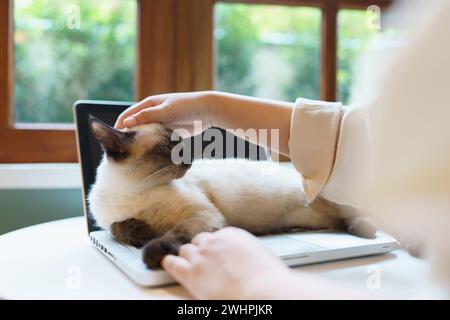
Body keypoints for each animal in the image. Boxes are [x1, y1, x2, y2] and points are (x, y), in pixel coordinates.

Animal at [88, 117, 376, 268]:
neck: (135, 190)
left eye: (182, 145)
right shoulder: (108, 221)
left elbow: (175, 232)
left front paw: (152, 250)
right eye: (167, 148)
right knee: (337, 221)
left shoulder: (203, 216)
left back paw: (366, 230)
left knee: (350, 215)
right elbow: (116, 227)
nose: (189, 158)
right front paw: (140, 232)